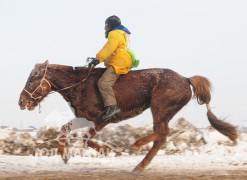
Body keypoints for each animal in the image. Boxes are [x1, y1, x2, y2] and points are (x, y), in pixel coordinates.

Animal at [18, 60, 238, 172]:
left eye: (31, 80)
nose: (21, 102)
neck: (80, 84)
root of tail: (186, 79)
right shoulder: (84, 117)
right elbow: (64, 130)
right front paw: (64, 155)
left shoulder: (102, 119)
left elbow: (87, 139)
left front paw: (107, 150)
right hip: (162, 111)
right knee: (161, 137)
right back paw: (140, 164)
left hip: (160, 108)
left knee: (162, 133)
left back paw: (137, 146)